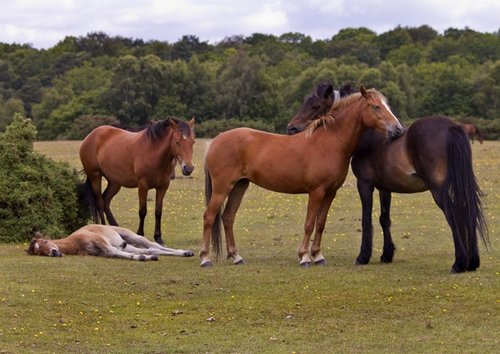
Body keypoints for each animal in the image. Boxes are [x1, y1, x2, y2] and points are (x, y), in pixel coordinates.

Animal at [80, 117, 195, 245]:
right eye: (177, 141)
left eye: (192, 142)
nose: (188, 168)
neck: (153, 151)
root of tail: (90, 136)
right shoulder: (143, 186)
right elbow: (142, 211)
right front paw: (140, 234)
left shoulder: (163, 186)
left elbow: (158, 211)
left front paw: (158, 237)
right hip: (95, 176)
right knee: (99, 202)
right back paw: (103, 228)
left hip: (114, 182)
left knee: (105, 201)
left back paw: (115, 227)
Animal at [198, 86, 402, 268]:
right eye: (375, 106)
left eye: (387, 106)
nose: (398, 129)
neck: (329, 143)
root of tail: (217, 140)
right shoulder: (316, 192)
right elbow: (309, 224)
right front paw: (304, 257)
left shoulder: (330, 193)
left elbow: (320, 223)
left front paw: (318, 256)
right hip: (222, 188)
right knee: (209, 216)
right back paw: (205, 258)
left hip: (239, 186)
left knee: (228, 217)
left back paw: (236, 257)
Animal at [288, 81, 486, 272]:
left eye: (314, 105)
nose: (291, 127)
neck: (369, 136)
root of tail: (452, 126)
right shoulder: (385, 188)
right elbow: (385, 219)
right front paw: (386, 254)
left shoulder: (364, 184)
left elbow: (367, 220)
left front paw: (363, 257)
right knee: (467, 211)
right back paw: (472, 262)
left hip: (439, 190)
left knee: (454, 215)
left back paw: (459, 263)